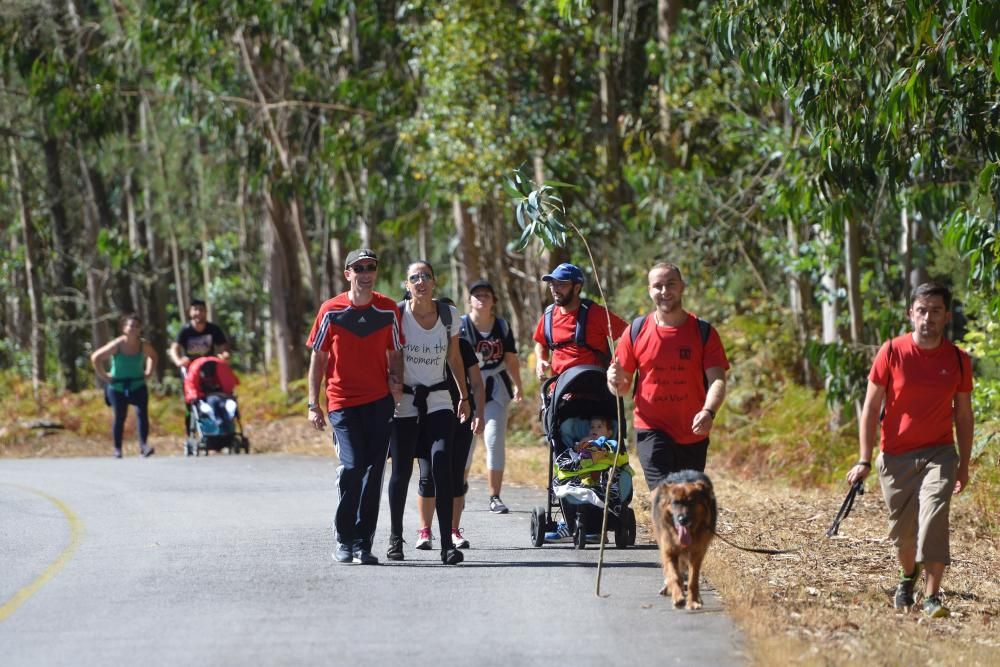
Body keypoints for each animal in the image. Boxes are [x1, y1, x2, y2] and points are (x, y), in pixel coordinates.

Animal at [648, 470, 720, 612]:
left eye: (691, 502)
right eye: (675, 502)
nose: (683, 520)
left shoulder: (697, 553)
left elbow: (693, 580)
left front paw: (693, 602)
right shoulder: (669, 551)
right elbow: (674, 576)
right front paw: (678, 597)